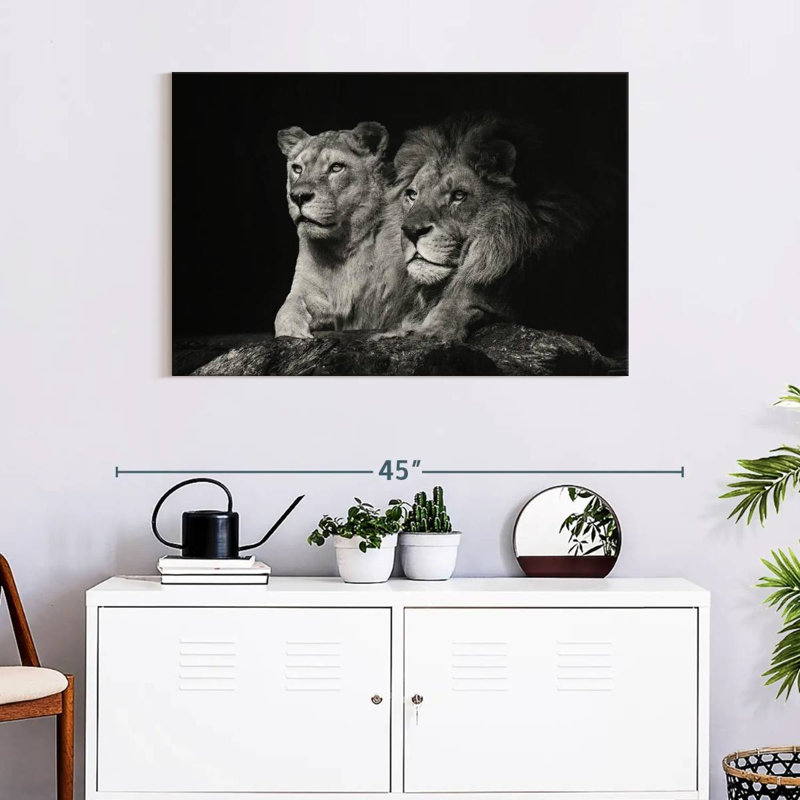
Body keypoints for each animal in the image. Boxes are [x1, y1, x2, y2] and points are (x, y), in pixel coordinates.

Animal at [274, 121, 412, 338]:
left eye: (336, 167)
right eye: (297, 168)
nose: (298, 196)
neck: (342, 247)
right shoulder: (307, 289)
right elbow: (286, 308)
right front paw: (292, 332)